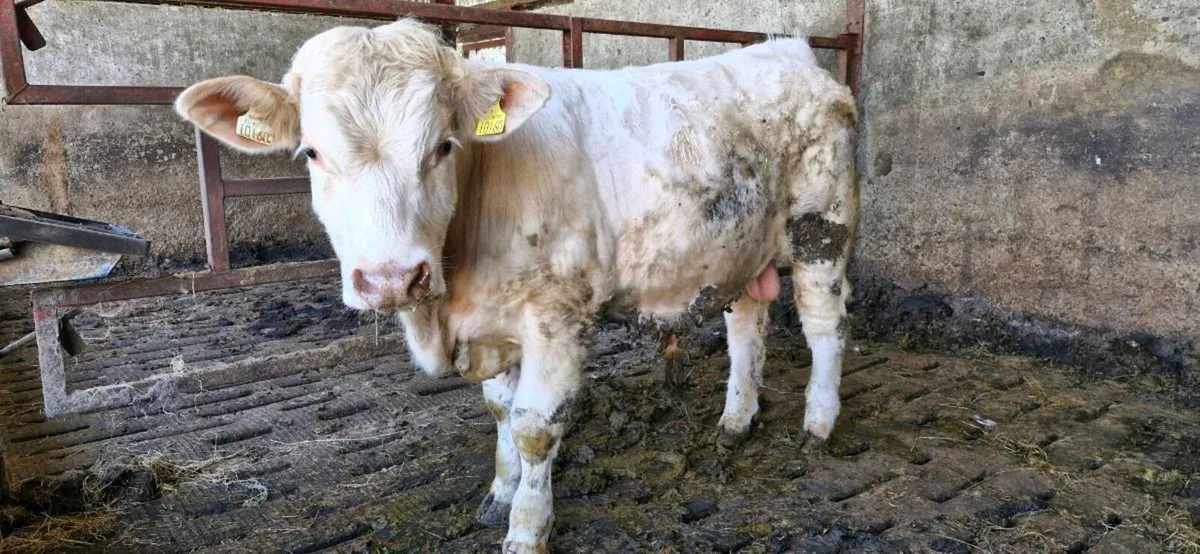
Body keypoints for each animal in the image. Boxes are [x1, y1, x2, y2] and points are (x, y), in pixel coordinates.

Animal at [175, 19, 858, 552]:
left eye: (443, 146)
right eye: (312, 153)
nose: (394, 278)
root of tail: (789, 51)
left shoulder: (556, 317)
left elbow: (533, 426)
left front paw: (527, 529)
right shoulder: (496, 323)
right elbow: (500, 409)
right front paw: (499, 494)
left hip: (824, 229)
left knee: (824, 326)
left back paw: (818, 426)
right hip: (737, 246)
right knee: (747, 324)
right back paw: (735, 420)